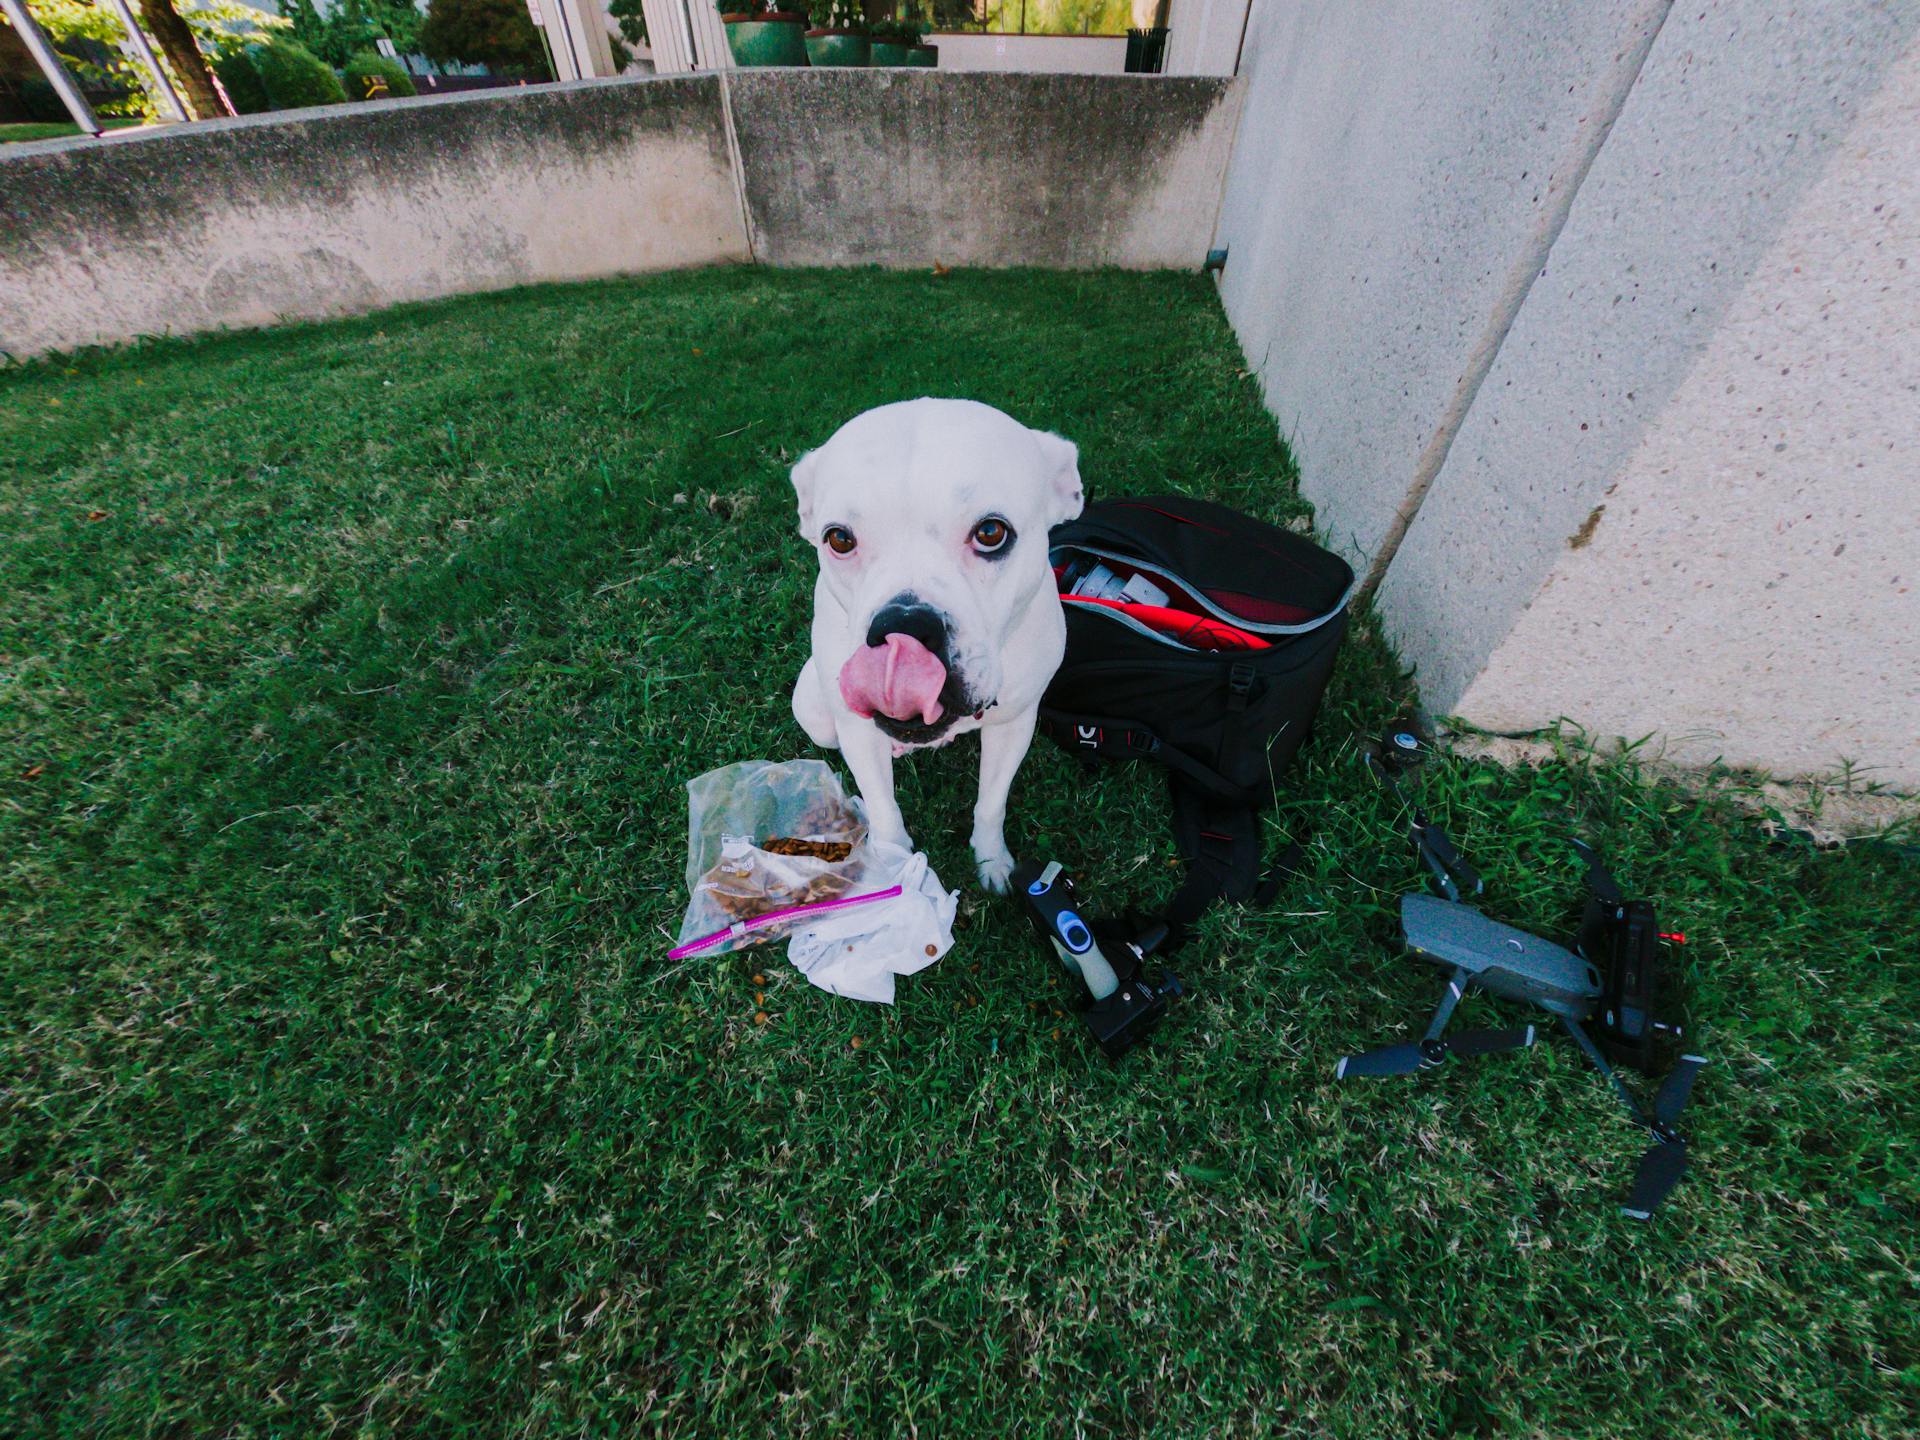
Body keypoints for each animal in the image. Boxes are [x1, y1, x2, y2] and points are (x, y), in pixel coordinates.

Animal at [791, 397, 1082, 890]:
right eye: (839, 539)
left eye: (991, 532)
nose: (904, 625)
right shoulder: (857, 732)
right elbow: (885, 814)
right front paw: (893, 871)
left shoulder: (1015, 724)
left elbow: (991, 802)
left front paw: (992, 861)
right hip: (813, 711)